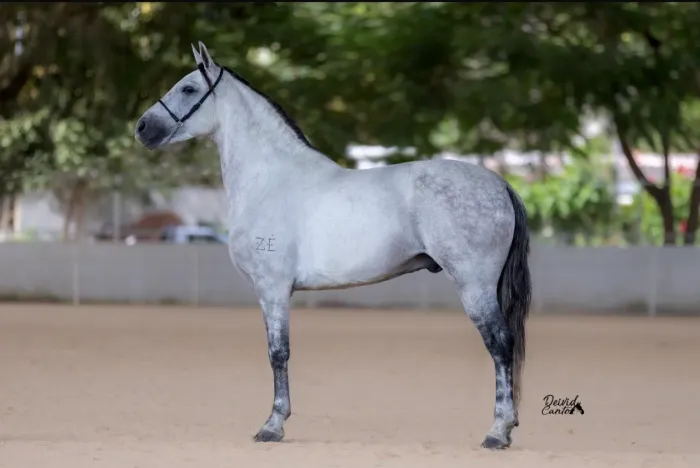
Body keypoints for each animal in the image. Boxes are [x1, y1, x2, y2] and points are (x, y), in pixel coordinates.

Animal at [134, 41, 531, 450]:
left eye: (188, 89)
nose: (142, 128)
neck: (270, 179)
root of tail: (500, 183)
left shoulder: (273, 288)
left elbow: (278, 353)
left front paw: (273, 426)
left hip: (475, 285)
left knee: (501, 344)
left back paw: (498, 432)